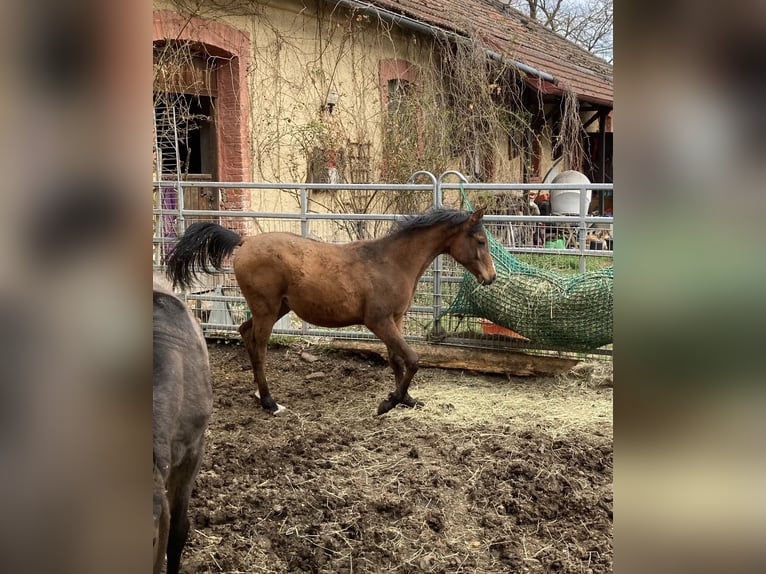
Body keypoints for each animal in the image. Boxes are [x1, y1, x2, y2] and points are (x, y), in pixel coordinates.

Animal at [166, 207, 496, 416]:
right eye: (480, 240)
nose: (491, 278)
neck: (390, 262)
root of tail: (245, 241)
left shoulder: (396, 320)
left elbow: (397, 360)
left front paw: (406, 399)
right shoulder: (378, 322)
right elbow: (413, 359)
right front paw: (388, 403)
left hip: (276, 308)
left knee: (245, 334)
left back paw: (260, 395)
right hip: (266, 310)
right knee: (259, 349)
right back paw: (271, 403)